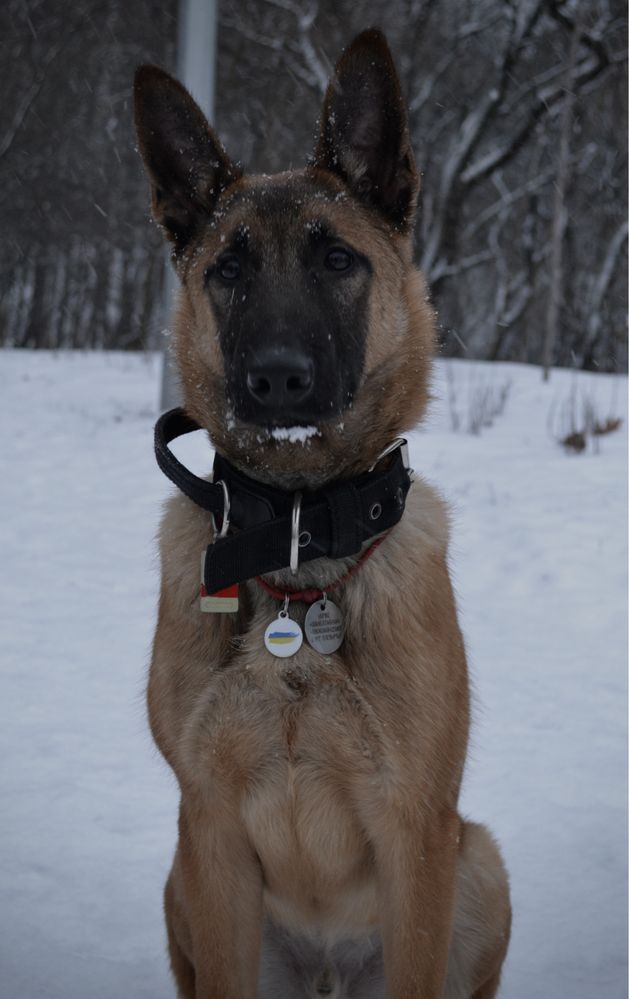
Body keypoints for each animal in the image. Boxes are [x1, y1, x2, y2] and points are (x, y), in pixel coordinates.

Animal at [132, 27, 510, 996]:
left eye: (336, 259)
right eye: (228, 269)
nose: (277, 379)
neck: (300, 535)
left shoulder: (416, 834)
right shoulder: (209, 831)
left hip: (478, 860)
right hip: (177, 882)